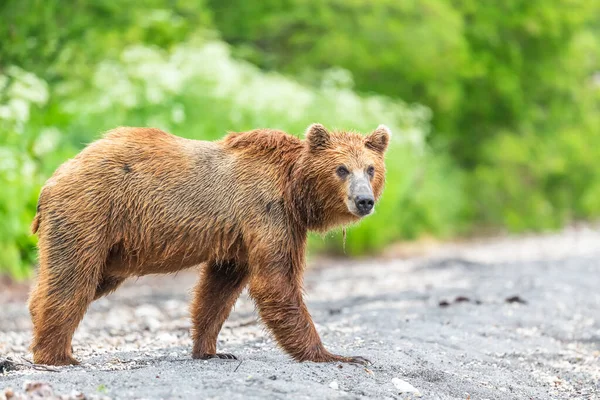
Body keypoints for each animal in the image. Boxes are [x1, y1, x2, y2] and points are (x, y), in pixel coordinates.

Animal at [29, 122, 390, 366]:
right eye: (342, 169)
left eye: (371, 169)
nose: (364, 201)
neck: (294, 191)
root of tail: (52, 179)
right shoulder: (269, 213)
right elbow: (276, 281)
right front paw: (337, 355)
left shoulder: (240, 239)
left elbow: (218, 290)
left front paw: (211, 350)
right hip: (91, 212)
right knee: (73, 278)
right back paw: (57, 355)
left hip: (112, 246)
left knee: (81, 280)